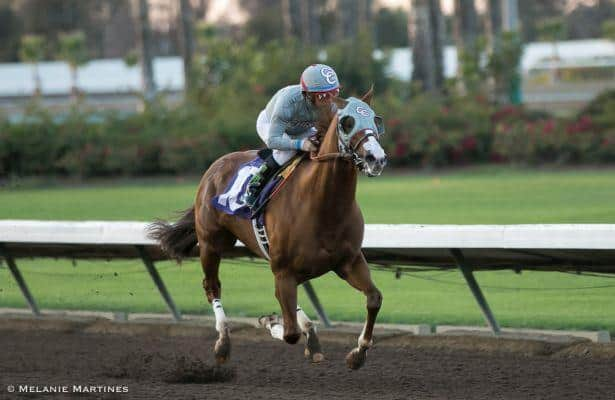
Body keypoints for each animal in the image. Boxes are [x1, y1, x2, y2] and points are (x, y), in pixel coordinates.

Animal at [150, 90, 388, 368]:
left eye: (376, 119)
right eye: (346, 122)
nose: (376, 158)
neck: (324, 206)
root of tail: (216, 165)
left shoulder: (348, 261)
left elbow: (373, 298)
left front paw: (357, 353)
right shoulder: (284, 270)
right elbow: (289, 333)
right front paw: (270, 321)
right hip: (211, 244)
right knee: (212, 287)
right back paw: (223, 343)